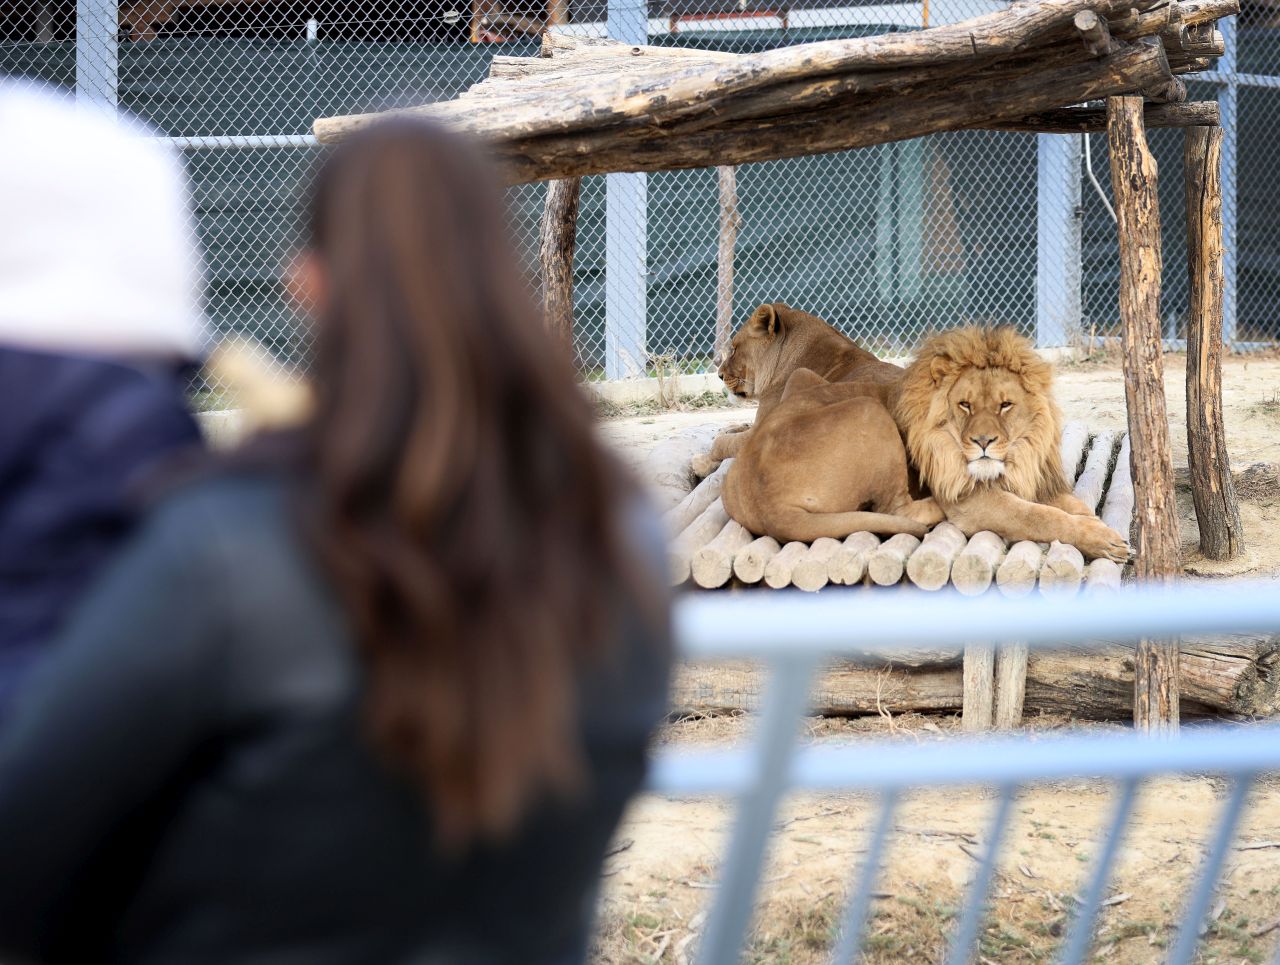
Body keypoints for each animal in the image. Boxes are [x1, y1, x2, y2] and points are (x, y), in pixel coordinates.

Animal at [901, 325, 1131, 563]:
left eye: (1005, 405)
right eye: (965, 404)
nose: (983, 441)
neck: (1019, 456)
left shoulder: (1035, 480)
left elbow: (1075, 504)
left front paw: (1100, 527)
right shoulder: (968, 499)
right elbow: (1039, 515)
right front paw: (1100, 539)